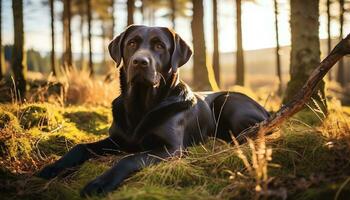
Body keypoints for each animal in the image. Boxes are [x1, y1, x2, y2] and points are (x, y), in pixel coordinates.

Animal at [37, 25, 270, 197]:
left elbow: (129, 159)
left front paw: (100, 183)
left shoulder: (171, 149)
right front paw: (54, 167)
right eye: (132, 43)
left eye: (159, 45)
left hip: (229, 101)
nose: (140, 61)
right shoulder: (117, 140)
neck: (141, 104)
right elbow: (80, 147)